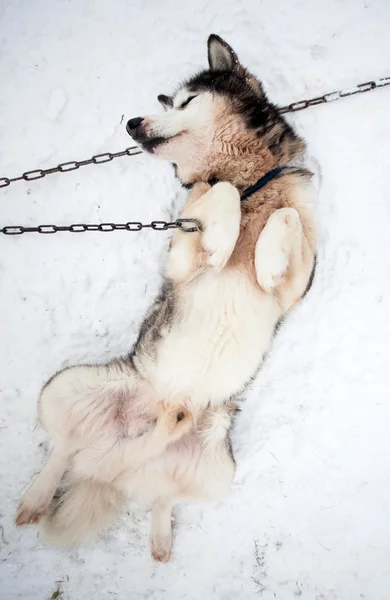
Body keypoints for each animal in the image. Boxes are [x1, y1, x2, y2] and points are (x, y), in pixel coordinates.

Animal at [15, 34, 316, 564]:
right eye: (169, 102)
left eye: (187, 101)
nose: (133, 123)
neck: (249, 181)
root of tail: (111, 466)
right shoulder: (180, 254)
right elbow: (219, 197)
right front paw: (225, 231)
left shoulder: (298, 285)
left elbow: (288, 221)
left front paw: (265, 259)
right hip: (66, 387)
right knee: (63, 448)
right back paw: (36, 496)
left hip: (217, 468)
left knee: (164, 496)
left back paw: (160, 530)